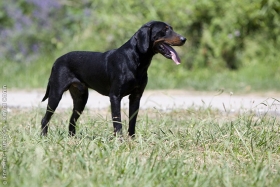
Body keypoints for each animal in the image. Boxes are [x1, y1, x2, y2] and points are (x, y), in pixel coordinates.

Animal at [40, 21, 185, 137]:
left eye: (171, 28)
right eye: (165, 30)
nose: (184, 39)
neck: (136, 60)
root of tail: (56, 61)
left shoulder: (136, 96)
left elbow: (132, 121)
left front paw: (132, 140)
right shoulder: (115, 96)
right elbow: (117, 121)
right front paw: (119, 140)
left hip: (81, 98)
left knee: (72, 120)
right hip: (56, 94)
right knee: (45, 119)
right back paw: (44, 138)